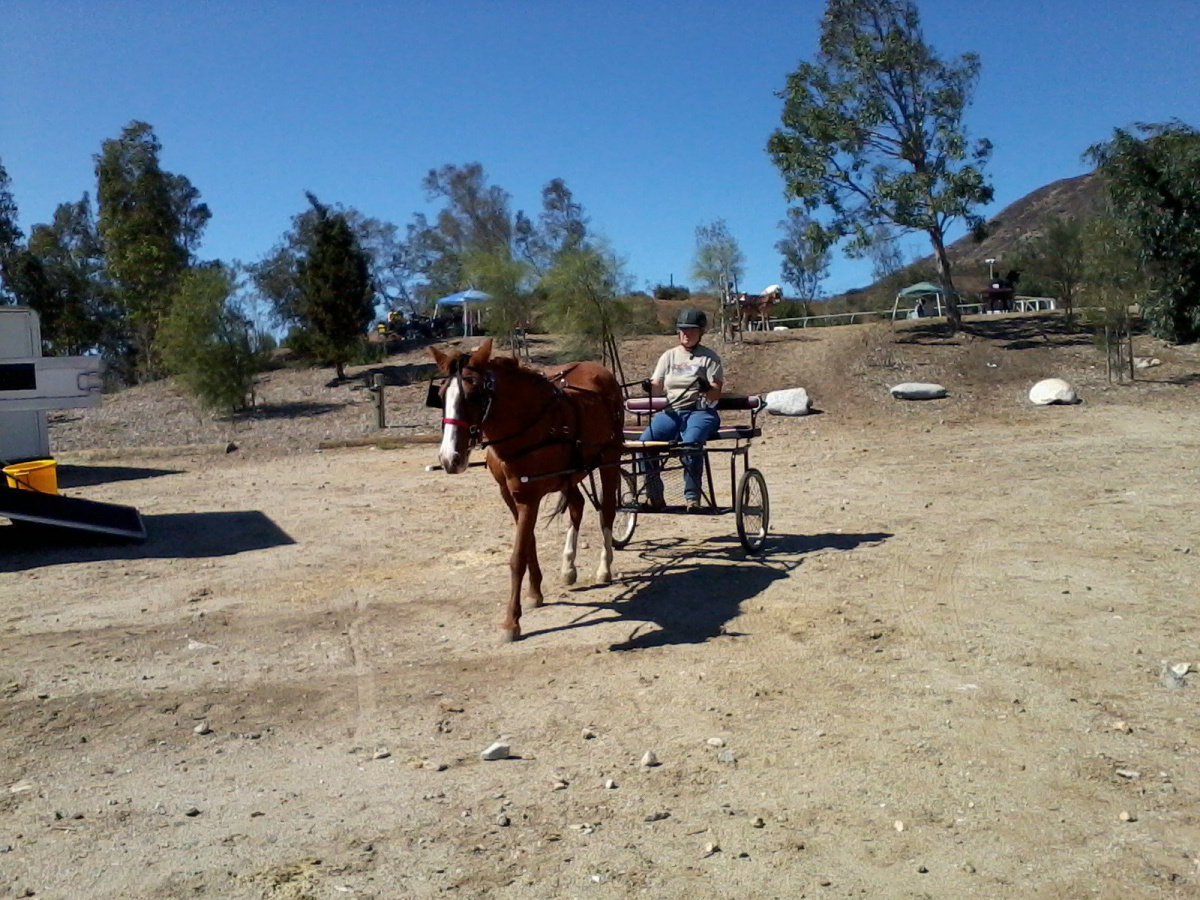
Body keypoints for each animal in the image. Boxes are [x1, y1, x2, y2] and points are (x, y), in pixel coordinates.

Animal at [429, 338, 624, 643]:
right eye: (440, 395)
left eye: (473, 395)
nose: (450, 458)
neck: (527, 424)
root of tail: (600, 370)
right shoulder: (510, 494)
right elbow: (528, 542)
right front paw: (535, 592)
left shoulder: (529, 496)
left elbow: (517, 556)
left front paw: (511, 621)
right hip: (570, 474)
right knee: (577, 506)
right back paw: (568, 567)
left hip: (610, 460)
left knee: (607, 512)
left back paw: (604, 568)